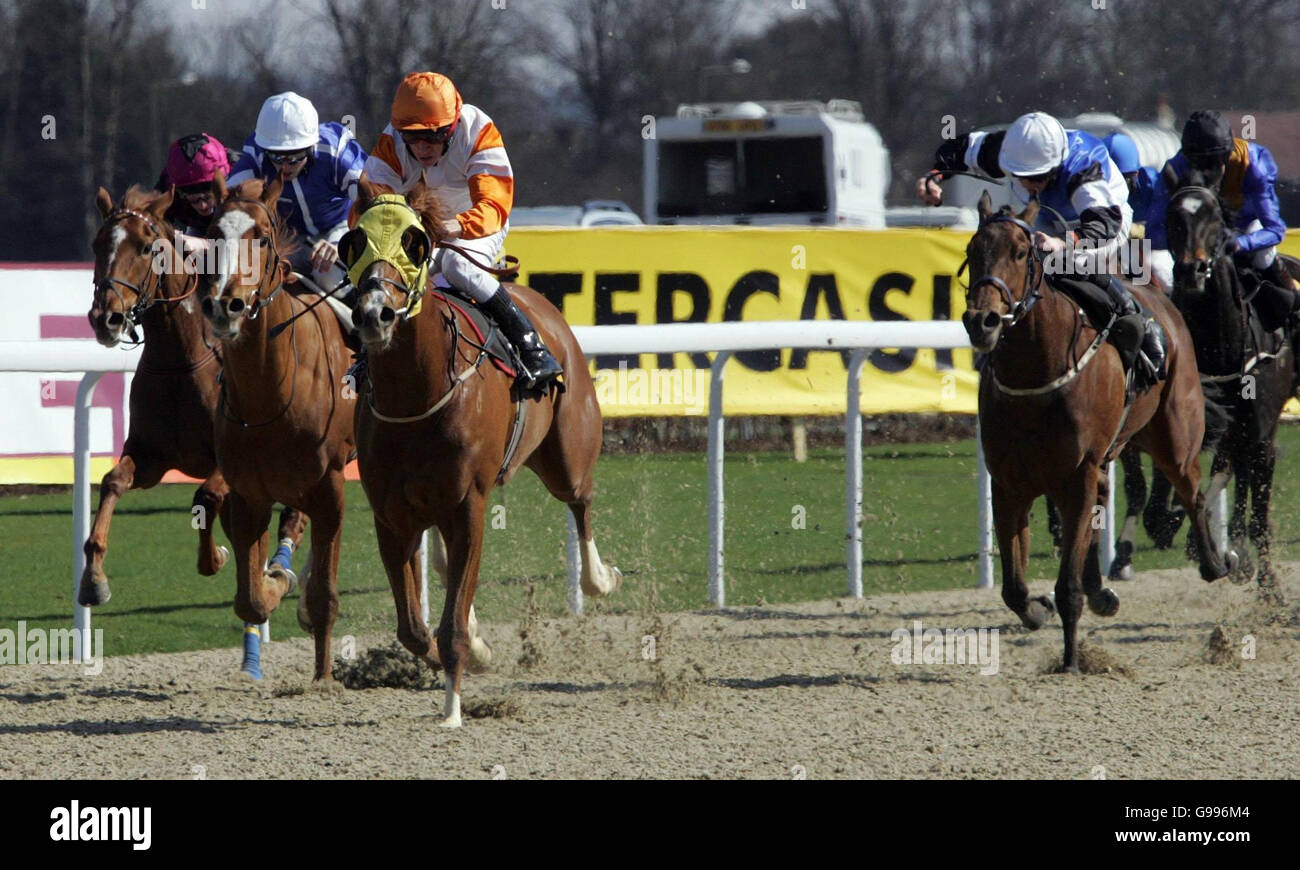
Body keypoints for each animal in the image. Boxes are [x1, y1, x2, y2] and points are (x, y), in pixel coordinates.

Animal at [83, 184, 306, 603]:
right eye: (97, 243)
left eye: (145, 247)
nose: (106, 318)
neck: (179, 361)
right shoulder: (151, 455)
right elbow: (112, 482)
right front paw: (94, 576)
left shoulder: (229, 461)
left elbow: (205, 498)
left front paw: (214, 557)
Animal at [197, 174, 353, 676]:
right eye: (212, 235)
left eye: (262, 237)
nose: (225, 305)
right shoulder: (249, 493)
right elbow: (250, 598)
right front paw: (274, 581)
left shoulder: (331, 489)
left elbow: (324, 597)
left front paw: (323, 677)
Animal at [345, 183, 618, 728]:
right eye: (354, 242)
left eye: (415, 243)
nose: (373, 314)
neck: (418, 395)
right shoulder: (391, 515)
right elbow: (413, 628)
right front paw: (467, 651)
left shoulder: (468, 505)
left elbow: (449, 623)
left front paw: (452, 706)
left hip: (567, 456)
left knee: (581, 500)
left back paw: (598, 579)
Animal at [967, 191, 1237, 671]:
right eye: (971, 250)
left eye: (1020, 252)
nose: (983, 321)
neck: (1036, 376)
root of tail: (1162, 299)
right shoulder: (1010, 482)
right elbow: (1014, 587)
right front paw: (1038, 609)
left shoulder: (1077, 473)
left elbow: (1067, 588)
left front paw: (1072, 659)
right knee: (1105, 500)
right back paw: (1102, 589)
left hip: (1174, 436)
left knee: (1191, 490)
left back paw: (1214, 562)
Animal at [1170, 174, 1289, 598]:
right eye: (1172, 216)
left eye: (1214, 216)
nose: (1192, 269)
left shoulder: (1263, 434)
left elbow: (1259, 514)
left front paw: (1270, 588)